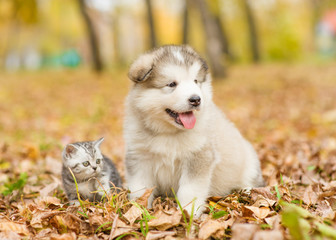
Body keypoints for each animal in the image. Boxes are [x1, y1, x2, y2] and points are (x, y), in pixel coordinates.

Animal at [124, 44, 264, 216]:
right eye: (172, 84)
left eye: (195, 81)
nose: (196, 99)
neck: (168, 133)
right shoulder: (139, 158)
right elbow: (140, 189)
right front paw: (139, 211)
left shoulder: (198, 157)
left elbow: (189, 190)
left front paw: (187, 213)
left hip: (249, 160)